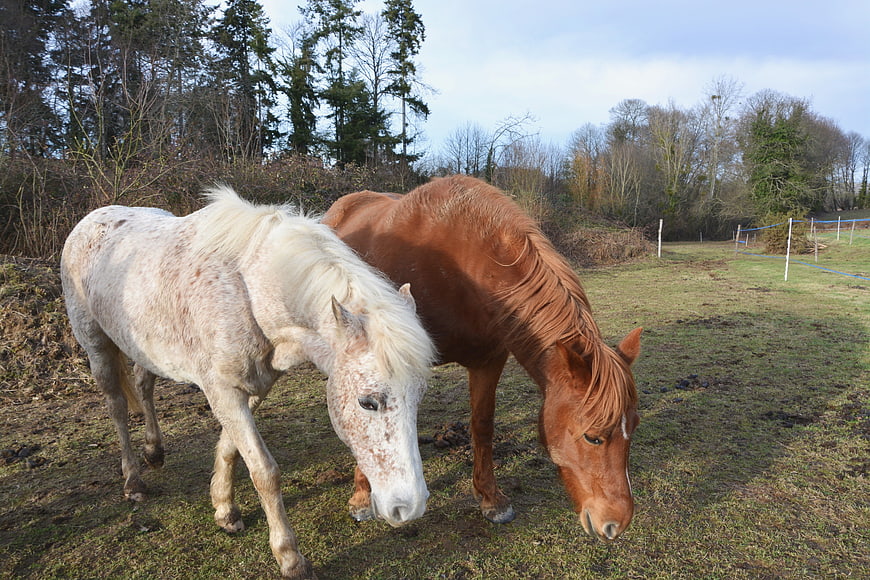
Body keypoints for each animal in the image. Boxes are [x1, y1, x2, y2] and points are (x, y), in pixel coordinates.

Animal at [60, 186, 435, 579]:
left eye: (418, 398)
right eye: (367, 402)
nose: (409, 507)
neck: (249, 291)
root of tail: (92, 220)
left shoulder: (253, 385)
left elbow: (231, 448)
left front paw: (224, 509)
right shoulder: (223, 391)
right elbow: (264, 471)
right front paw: (290, 557)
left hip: (144, 346)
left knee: (143, 384)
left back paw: (154, 451)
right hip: (97, 345)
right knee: (117, 406)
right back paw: (133, 480)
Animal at [322, 174, 642, 541]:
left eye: (634, 426)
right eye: (593, 436)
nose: (616, 523)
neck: (463, 268)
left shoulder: (489, 360)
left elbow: (483, 425)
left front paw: (491, 498)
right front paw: (362, 497)